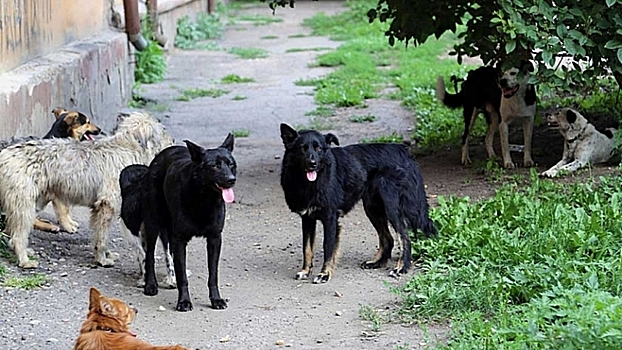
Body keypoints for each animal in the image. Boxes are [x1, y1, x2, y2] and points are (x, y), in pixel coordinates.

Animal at [0, 112, 174, 268]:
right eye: (163, 130)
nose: (173, 140)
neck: (128, 146)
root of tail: (4, 154)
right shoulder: (107, 205)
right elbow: (102, 237)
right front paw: (102, 260)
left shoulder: (99, 209)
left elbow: (99, 236)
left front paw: (105, 254)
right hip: (24, 205)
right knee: (17, 235)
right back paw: (24, 261)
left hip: (33, 203)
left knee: (10, 230)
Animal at [280, 124, 436, 284]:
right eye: (302, 148)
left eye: (319, 149)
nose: (312, 164)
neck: (309, 183)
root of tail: (404, 151)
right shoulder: (307, 219)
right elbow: (307, 249)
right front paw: (305, 271)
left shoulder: (330, 219)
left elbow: (328, 248)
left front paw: (324, 274)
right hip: (373, 208)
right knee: (388, 238)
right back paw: (377, 262)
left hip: (391, 208)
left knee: (404, 237)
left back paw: (401, 267)